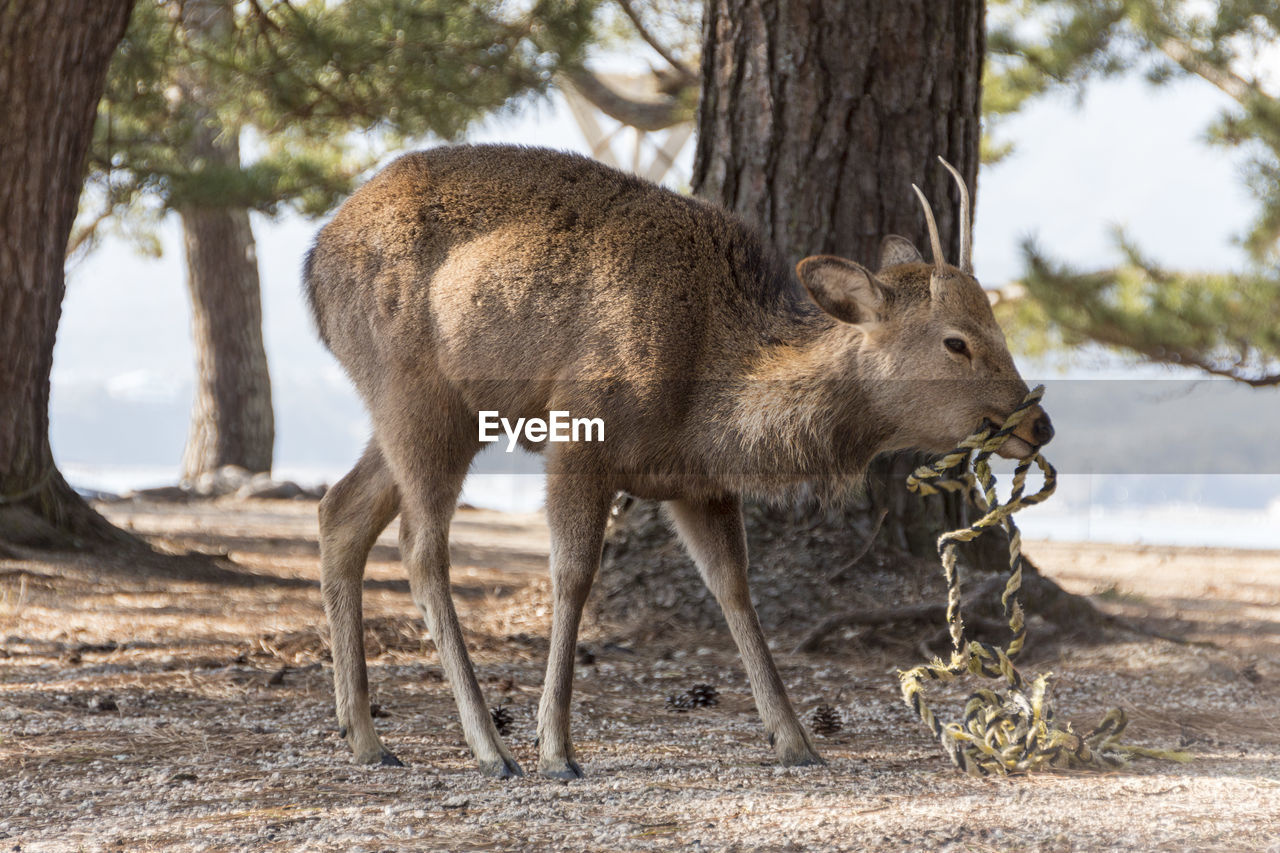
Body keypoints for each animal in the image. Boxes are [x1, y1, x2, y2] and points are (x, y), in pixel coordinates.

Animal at [304, 144, 1054, 778]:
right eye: (956, 341)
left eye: (997, 324)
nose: (1039, 424)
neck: (711, 399)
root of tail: (312, 264)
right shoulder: (579, 432)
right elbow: (573, 576)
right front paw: (557, 748)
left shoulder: (698, 482)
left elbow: (734, 587)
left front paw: (795, 740)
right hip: (417, 389)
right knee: (420, 547)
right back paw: (490, 747)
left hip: (428, 411)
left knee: (341, 509)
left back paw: (365, 737)